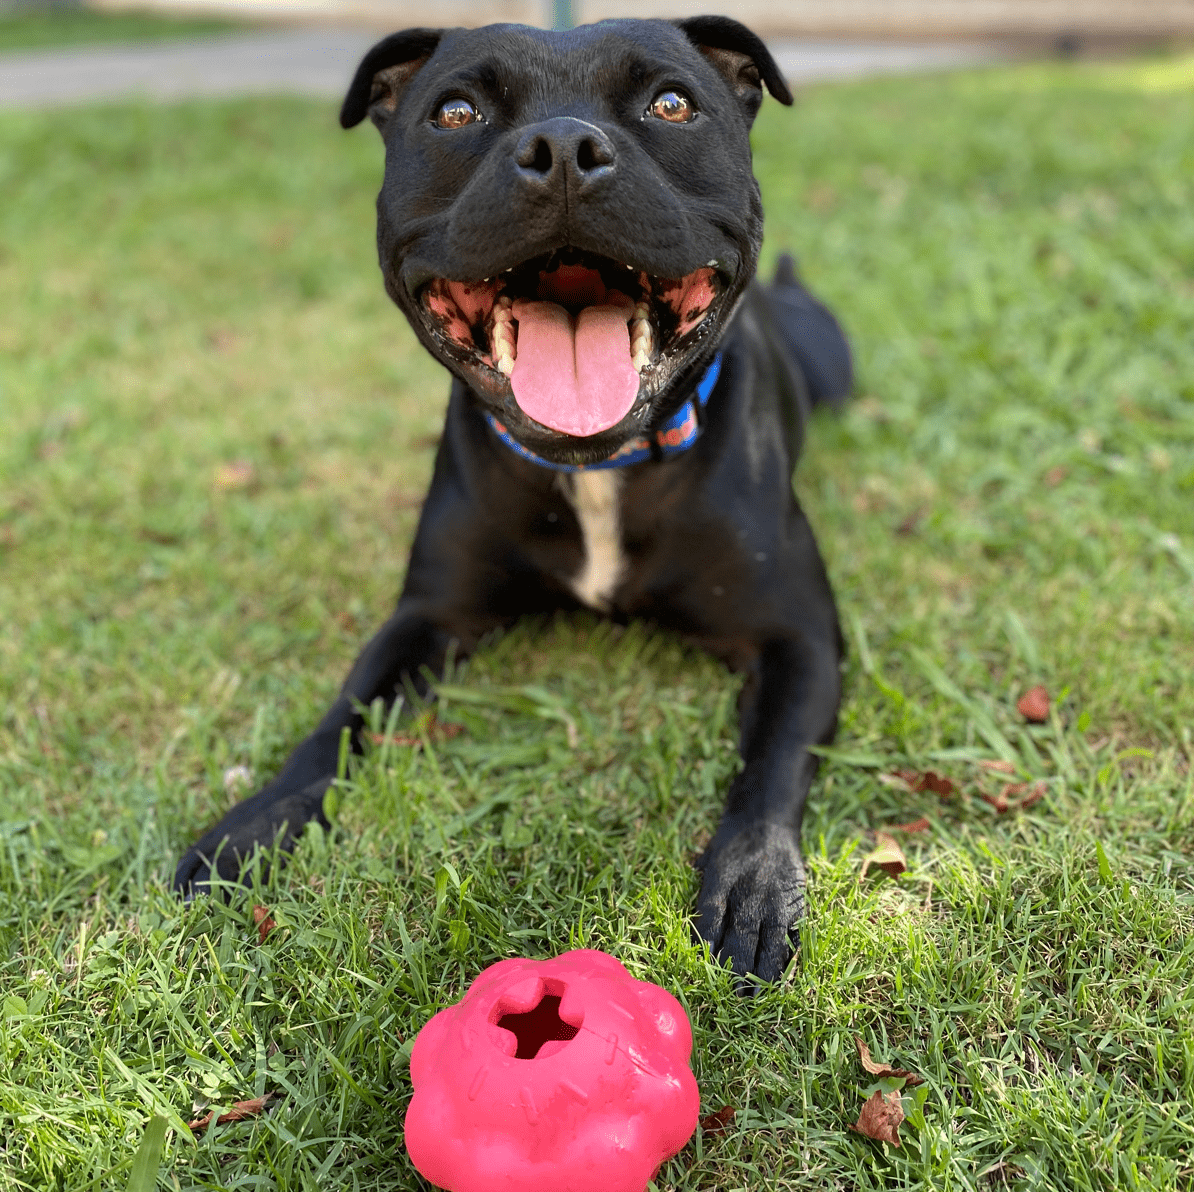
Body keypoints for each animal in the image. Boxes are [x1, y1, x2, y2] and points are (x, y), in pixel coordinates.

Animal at [174, 16, 850, 988]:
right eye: (455, 112)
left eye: (671, 102)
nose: (564, 147)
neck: (596, 468)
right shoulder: (427, 616)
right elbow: (339, 722)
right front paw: (253, 827)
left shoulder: (798, 638)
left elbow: (773, 764)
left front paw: (754, 883)